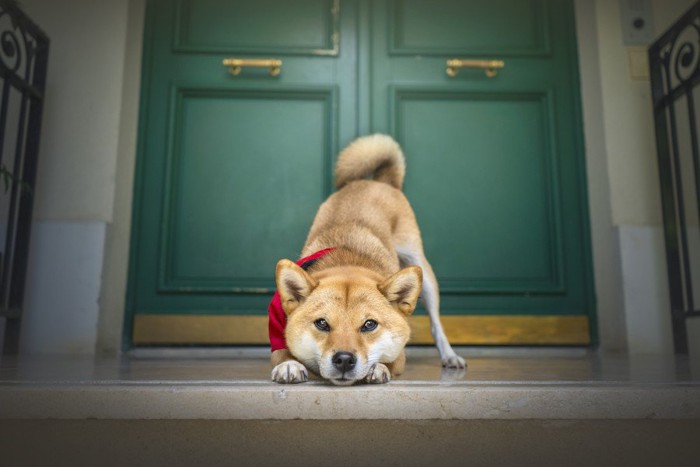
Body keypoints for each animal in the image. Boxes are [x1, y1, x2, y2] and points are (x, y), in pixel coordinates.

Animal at [268, 133, 464, 386]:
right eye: (322, 323)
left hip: (424, 273)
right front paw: (289, 364)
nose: (343, 359)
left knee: (436, 325)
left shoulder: (399, 354)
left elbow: (390, 359)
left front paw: (377, 368)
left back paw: (450, 355)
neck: (347, 261)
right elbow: (281, 350)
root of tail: (379, 182)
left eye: (369, 325)